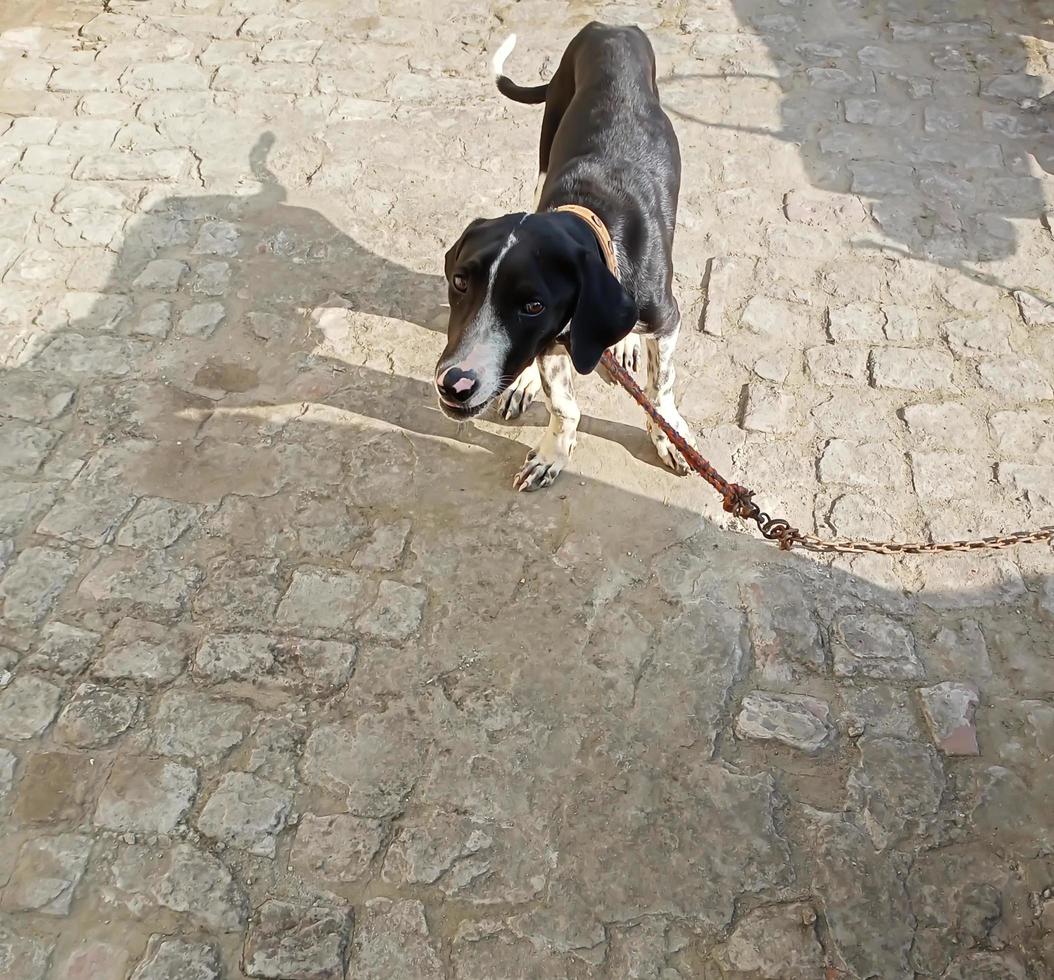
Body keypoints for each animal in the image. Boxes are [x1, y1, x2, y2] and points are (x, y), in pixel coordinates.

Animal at [432, 24, 695, 488]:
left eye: (534, 305)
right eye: (460, 282)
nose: (454, 384)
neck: (593, 212)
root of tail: (610, 27)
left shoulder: (667, 319)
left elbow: (660, 386)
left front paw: (668, 435)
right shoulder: (551, 339)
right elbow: (562, 403)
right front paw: (553, 451)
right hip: (545, 151)